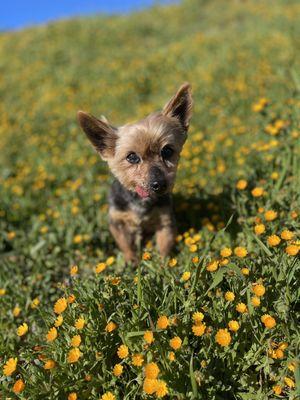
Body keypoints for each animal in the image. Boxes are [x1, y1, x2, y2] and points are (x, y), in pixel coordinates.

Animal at [78, 83, 192, 264]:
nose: (159, 184)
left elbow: (164, 245)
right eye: (132, 157)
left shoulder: (165, 221)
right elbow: (126, 245)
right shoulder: (117, 222)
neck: (141, 199)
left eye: (167, 151)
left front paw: (164, 264)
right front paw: (132, 262)